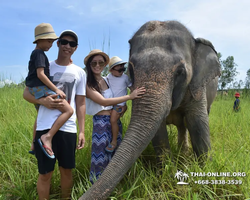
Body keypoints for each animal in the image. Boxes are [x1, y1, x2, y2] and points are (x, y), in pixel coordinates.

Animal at [79, 19, 221, 199]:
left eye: (180, 72)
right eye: (131, 69)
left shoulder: (197, 85)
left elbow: (197, 122)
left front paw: (206, 172)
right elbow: (158, 132)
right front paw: (168, 175)